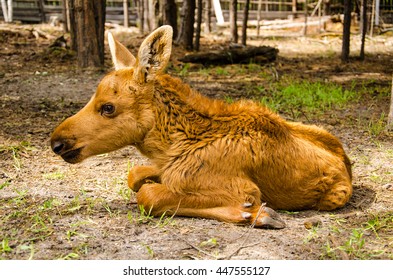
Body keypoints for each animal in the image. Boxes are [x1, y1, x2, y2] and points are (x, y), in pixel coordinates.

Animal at [50, 25, 350, 229]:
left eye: (108, 107)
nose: (57, 142)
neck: (173, 144)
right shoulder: (165, 168)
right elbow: (135, 175)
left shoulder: (242, 188)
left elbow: (148, 195)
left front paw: (256, 213)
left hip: (335, 197)